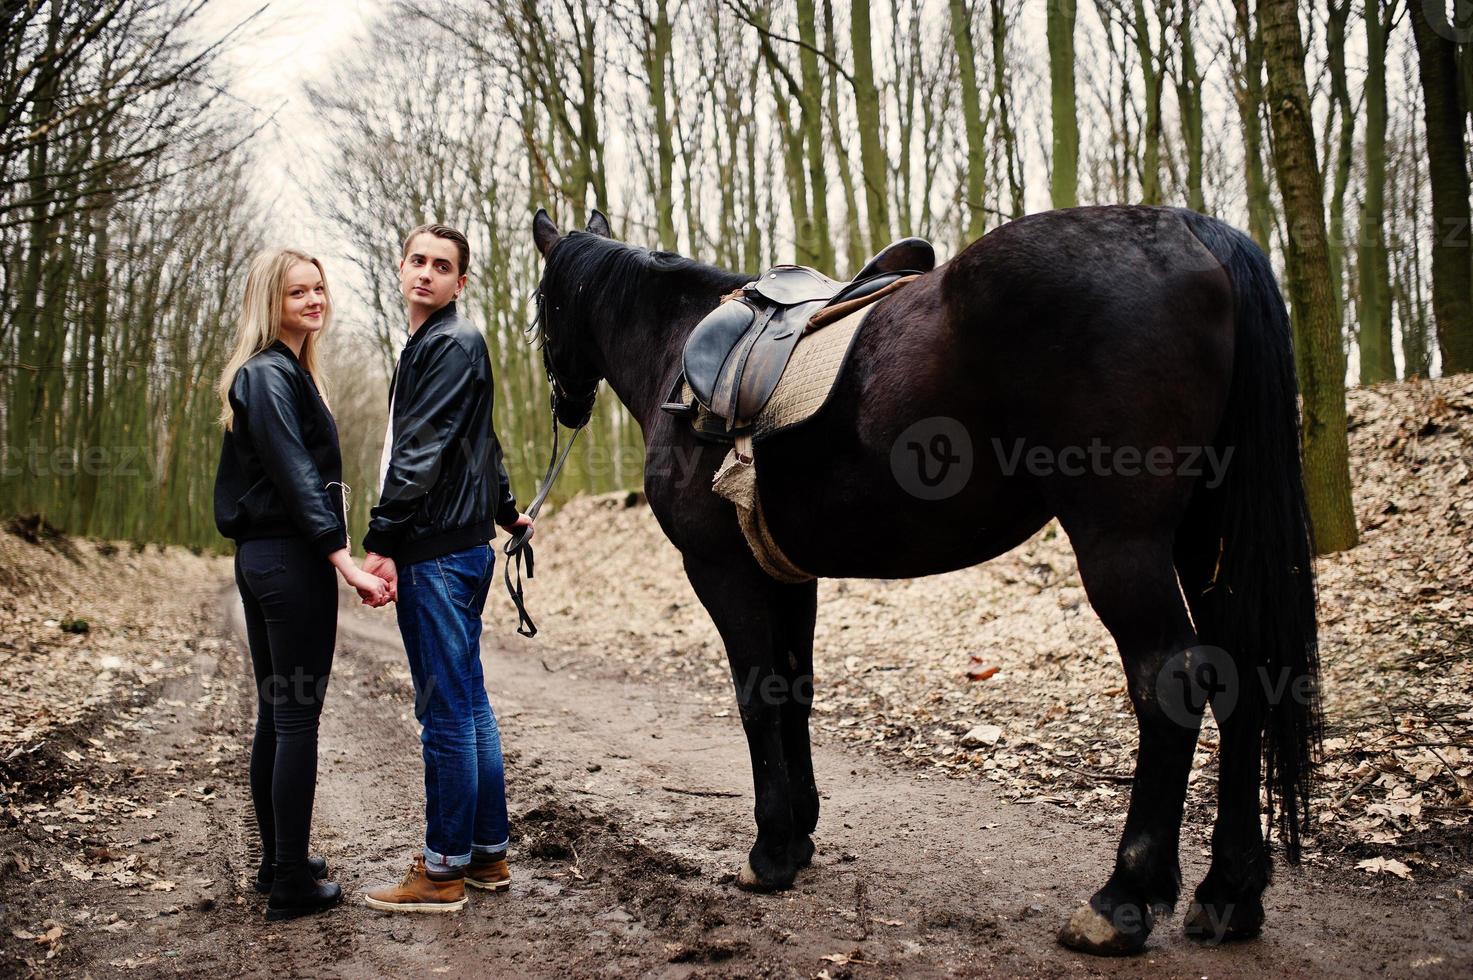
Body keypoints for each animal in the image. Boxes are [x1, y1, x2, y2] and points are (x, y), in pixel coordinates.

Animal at [533, 201, 1325, 949]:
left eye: (541, 304)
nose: (563, 402)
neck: (680, 348)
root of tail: (1192, 231)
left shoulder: (722, 571)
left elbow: (757, 697)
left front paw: (770, 850)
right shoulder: (789, 576)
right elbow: (794, 692)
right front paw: (802, 831)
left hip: (1121, 542)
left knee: (1172, 681)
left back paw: (1121, 902)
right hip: (1206, 543)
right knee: (1246, 679)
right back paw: (1228, 894)